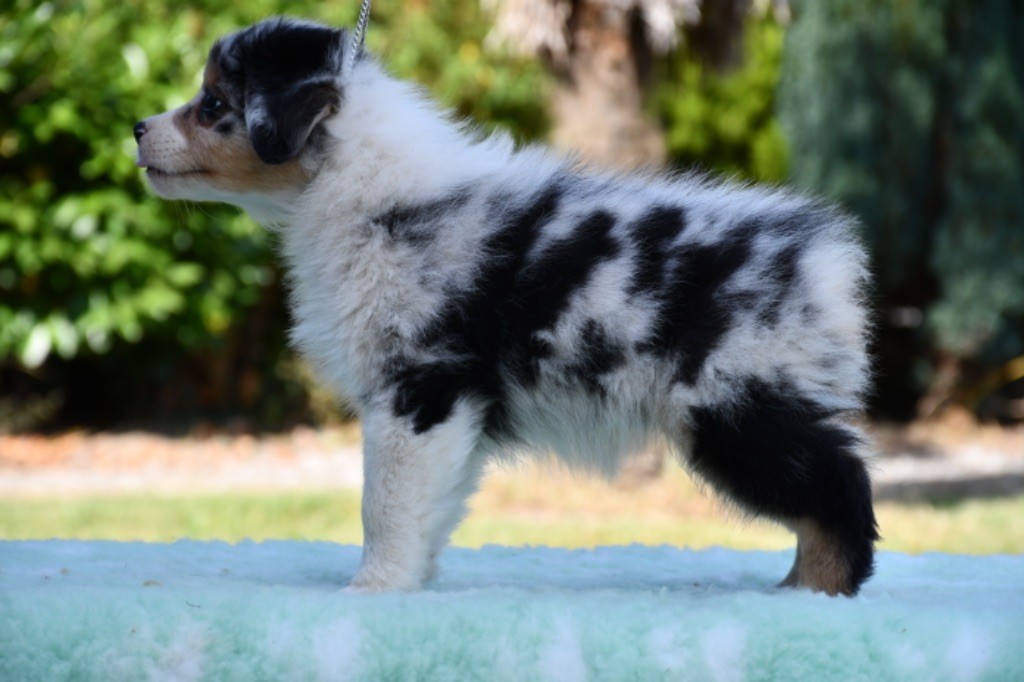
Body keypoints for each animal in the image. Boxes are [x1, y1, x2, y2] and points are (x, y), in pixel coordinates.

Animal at [136, 17, 879, 596]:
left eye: (212, 104)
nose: (138, 127)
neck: (355, 184)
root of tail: (823, 255)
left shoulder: (419, 388)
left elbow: (385, 503)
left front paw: (373, 589)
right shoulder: (449, 411)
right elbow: (429, 503)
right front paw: (413, 581)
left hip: (736, 408)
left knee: (839, 487)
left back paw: (815, 590)